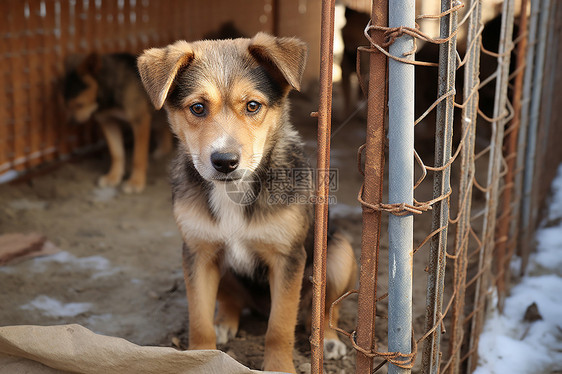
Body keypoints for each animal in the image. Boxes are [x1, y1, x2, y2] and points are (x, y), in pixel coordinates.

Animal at [61, 52, 171, 193]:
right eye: (65, 105)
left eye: (79, 104)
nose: (70, 124)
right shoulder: (108, 122)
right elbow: (116, 153)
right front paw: (113, 177)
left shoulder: (140, 120)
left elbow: (138, 157)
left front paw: (135, 182)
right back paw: (163, 150)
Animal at [137, 33, 354, 372]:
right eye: (197, 108)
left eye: (253, 106)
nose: (225, 162)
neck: (233, 191)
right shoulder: (197, 253)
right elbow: (198, 319)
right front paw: (201, 357)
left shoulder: (288, 258)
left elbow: (279, 327)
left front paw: (279, 367)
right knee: (231, 300)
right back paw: (224, 323)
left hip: (341, 252)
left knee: (325, 308)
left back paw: (329, 339)